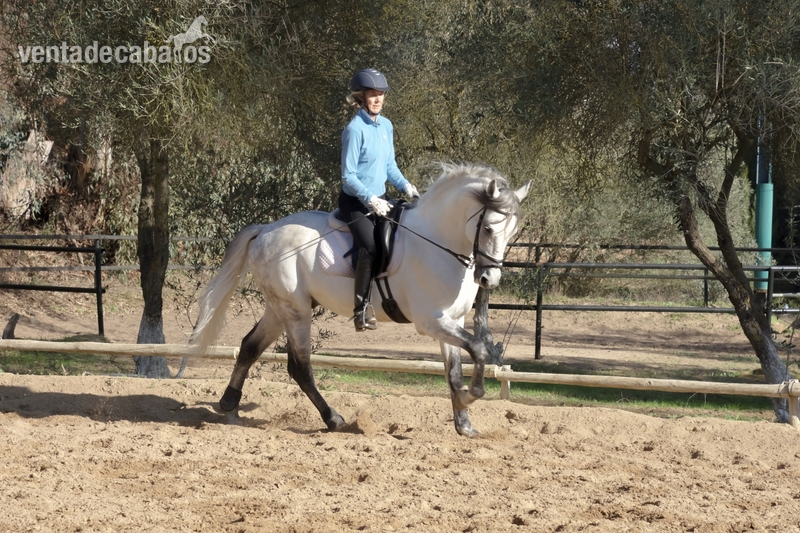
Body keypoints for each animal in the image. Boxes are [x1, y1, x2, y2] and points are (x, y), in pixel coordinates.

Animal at [190, 163, 530, 436]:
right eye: (489, 228)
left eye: (512, 233)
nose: (489, 280)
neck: (438, 242)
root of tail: (266, 230)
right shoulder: (431, 321)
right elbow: (480, 350)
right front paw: (470, 395)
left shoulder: (451, 319)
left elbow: (455, 369)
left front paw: (464, 423)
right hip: (295, 311)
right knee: (300, 366)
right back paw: (333, 419)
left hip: (280, 308)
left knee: (250, 347)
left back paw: (229, 405)